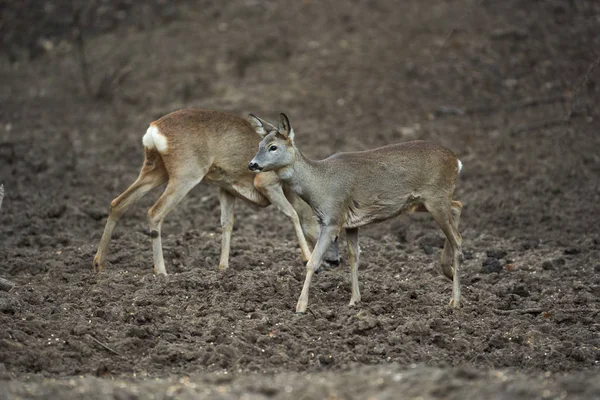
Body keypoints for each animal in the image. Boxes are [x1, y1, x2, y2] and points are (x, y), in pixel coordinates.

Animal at [92, 109, 340, 276]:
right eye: (334, 235)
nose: (336, 262)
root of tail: (154, 131)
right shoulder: (266, 182)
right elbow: (293, 215)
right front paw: (307, 258)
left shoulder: (226, 187)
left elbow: (226, 224)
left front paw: (223, 267)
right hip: (186, 174)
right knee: (154, 212)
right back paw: (161, 272)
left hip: (155, 170)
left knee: (117, 203)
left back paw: (99, 263)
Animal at [248, 112, 464, 312]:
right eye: (259, 144)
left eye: (273, 147)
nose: (252, 164)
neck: (319, 184)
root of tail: (456, 161)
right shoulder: (351, 222)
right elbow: (354, 256)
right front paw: (354, 301)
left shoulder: (333, 218)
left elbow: (313, 261)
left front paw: (300, 306)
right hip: (423, 202)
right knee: (457, 206)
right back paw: (448, 271)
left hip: (435, 196)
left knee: (457, 238)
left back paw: (455, 300)